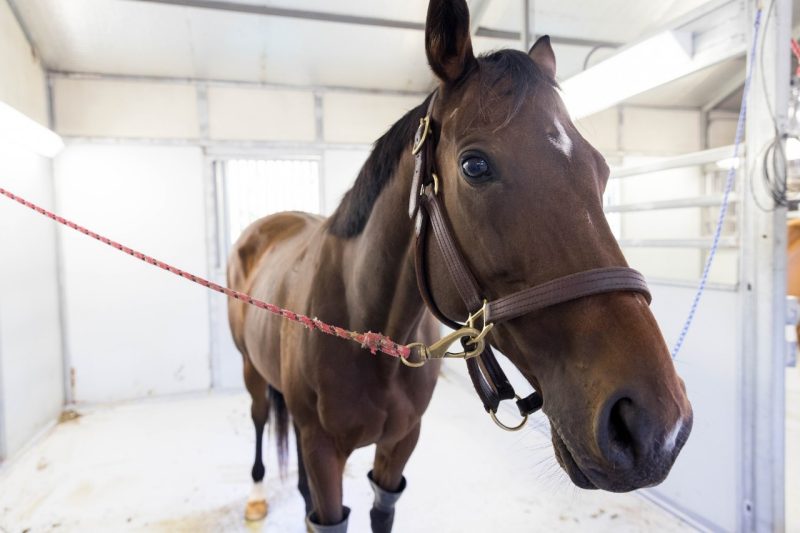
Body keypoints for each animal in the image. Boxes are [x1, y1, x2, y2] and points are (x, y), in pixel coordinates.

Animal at [227, 1, 694, 531]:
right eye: (474, 166)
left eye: (602, 168)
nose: (655, 425)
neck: (367, 330)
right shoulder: (324, 452)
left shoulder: (399, 446)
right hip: (251, 370)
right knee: (259, 418)